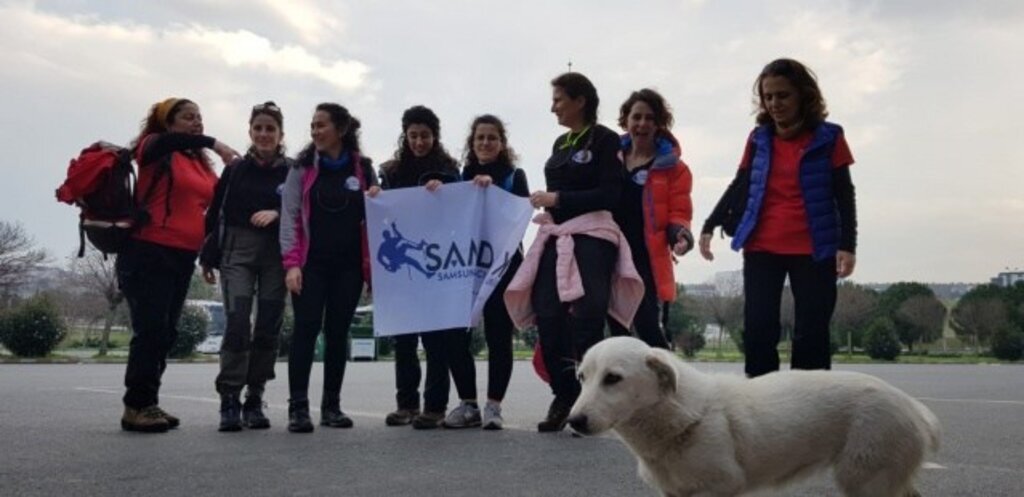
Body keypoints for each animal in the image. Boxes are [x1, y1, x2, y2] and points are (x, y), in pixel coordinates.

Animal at [567, 337, 940, 497]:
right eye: (581, 378)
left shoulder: (719, 488)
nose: (574, 421)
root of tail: (913, 406)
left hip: (866, 482)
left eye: (613, 378)